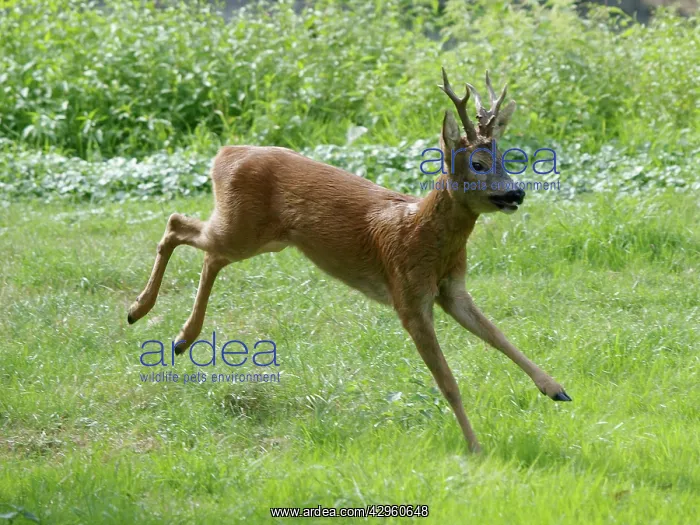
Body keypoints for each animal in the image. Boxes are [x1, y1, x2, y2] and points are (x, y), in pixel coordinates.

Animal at [127, 68, 571, 453]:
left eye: (508, 159)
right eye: (477, 164)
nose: (517, 193)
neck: (422, 235)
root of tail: (224, 153)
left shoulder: (453, 290)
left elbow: (499, 335)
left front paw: (555, 388)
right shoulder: (407, 296)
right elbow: (447, 381)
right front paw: (475, 447)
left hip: (260, 237)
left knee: (207, 253)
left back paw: (181, 337)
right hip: (242, 230)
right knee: (178, 225)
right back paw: (139, 311)